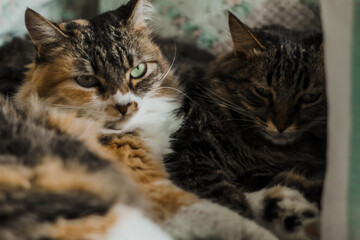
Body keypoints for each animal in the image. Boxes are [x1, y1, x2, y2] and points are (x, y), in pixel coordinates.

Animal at [166, 12, 326, 240]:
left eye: (310, 97)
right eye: (263, 92)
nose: (281, 126)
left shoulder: (260, 174)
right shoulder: (190, 158)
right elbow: (231, 202)